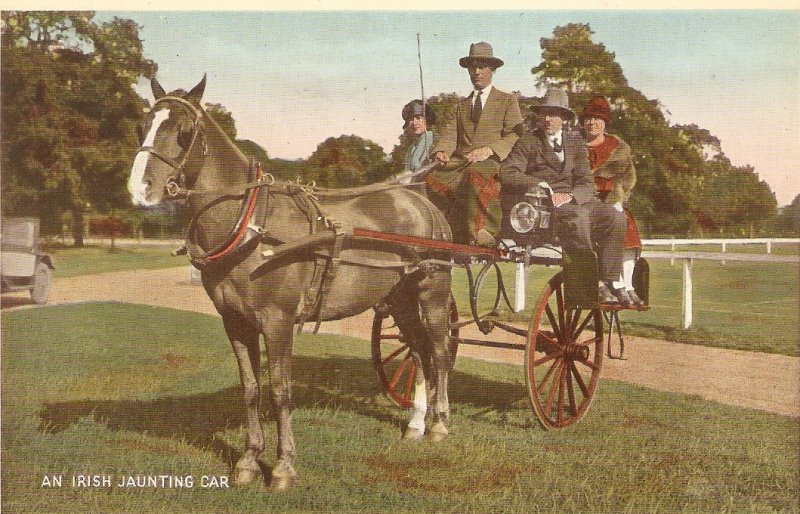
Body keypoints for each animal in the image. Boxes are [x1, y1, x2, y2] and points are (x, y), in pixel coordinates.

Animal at [128, 76, 454, 488]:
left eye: (184, 132)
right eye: (142, 126)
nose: (140, 189)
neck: (252, 222)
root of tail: (422, 203)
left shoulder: (278, 322)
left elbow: (281, 391)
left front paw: (284, 466)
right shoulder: (236, 323)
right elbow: (251, 389)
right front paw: (249, 460)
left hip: (432, 294)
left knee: (438, 351)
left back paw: (440, 424)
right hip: (399, 299)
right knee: (418, 352)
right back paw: (416, 424)